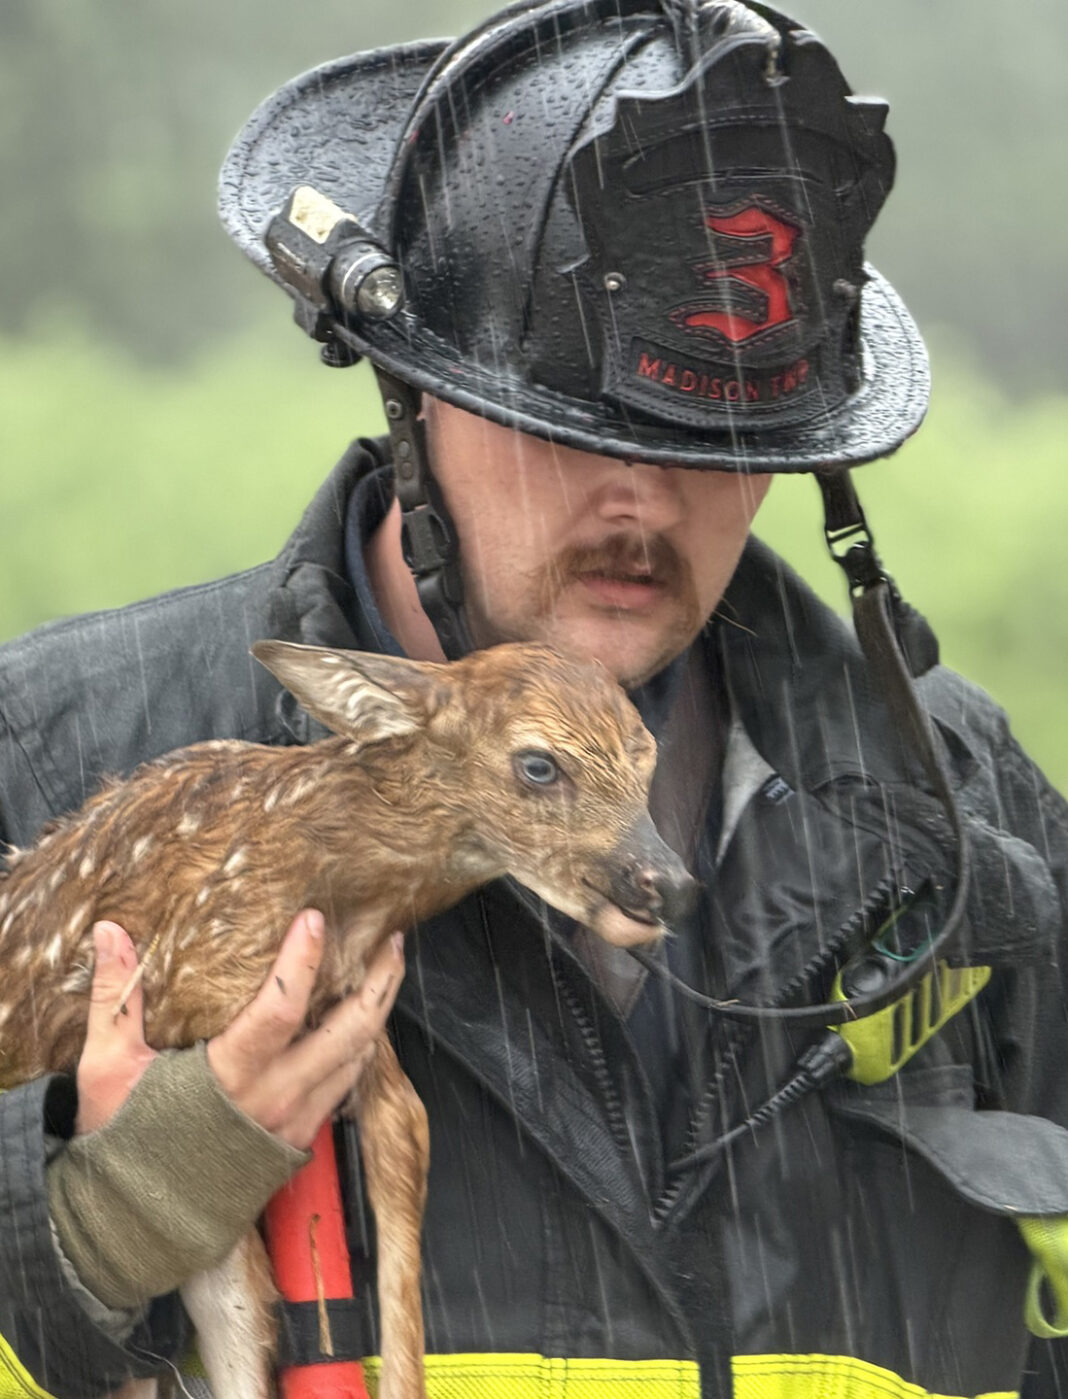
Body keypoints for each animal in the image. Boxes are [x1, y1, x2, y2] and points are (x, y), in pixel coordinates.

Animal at [0, 639, 696, 1399]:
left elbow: (405, 1134)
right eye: (539, 764)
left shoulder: (347, 1005)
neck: (323, 873)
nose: (668, 884)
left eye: (647, 756)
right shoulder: (194, 988)